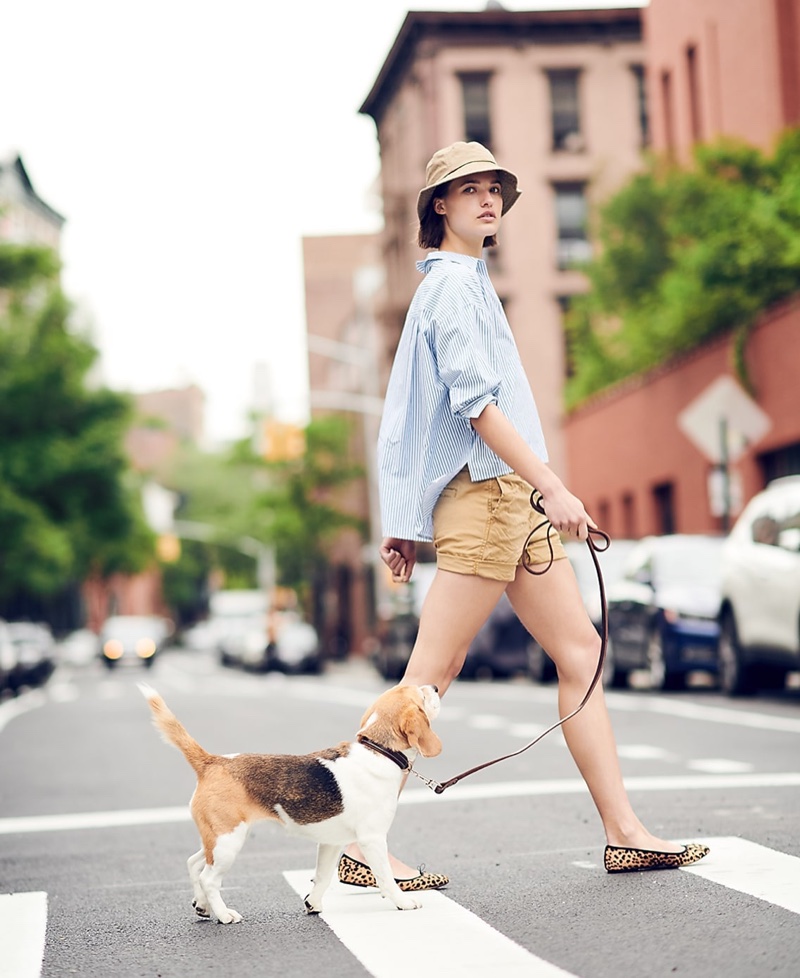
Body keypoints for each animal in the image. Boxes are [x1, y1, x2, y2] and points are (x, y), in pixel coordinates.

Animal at [138, 684, 438, 920]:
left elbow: (322, 877)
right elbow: (386, 877)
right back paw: (223, 914)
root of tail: (212, 761)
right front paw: (403, 902)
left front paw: (313, 903)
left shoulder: (332, 843)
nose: (434, 687)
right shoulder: (373, 840)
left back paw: (202, 905)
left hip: (217, 838)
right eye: (421, 694)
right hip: (228, 842)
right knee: (208, 878)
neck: (378, 750)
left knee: (193, 864)